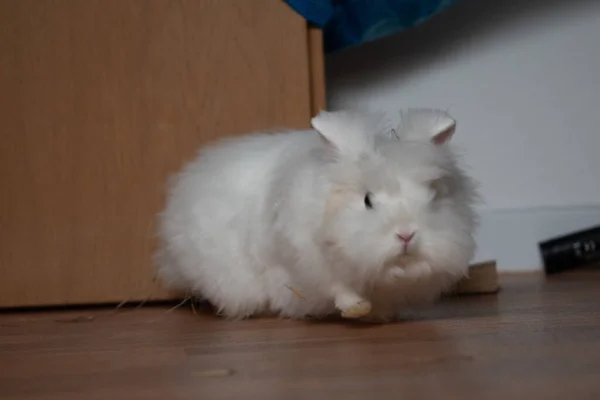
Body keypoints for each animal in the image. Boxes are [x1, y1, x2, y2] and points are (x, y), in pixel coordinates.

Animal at [155, 108, 478, 320]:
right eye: (367, 200)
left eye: (432, 196)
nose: (406, 234)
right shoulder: (307, 257)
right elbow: (339, 288)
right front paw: (356, 309)